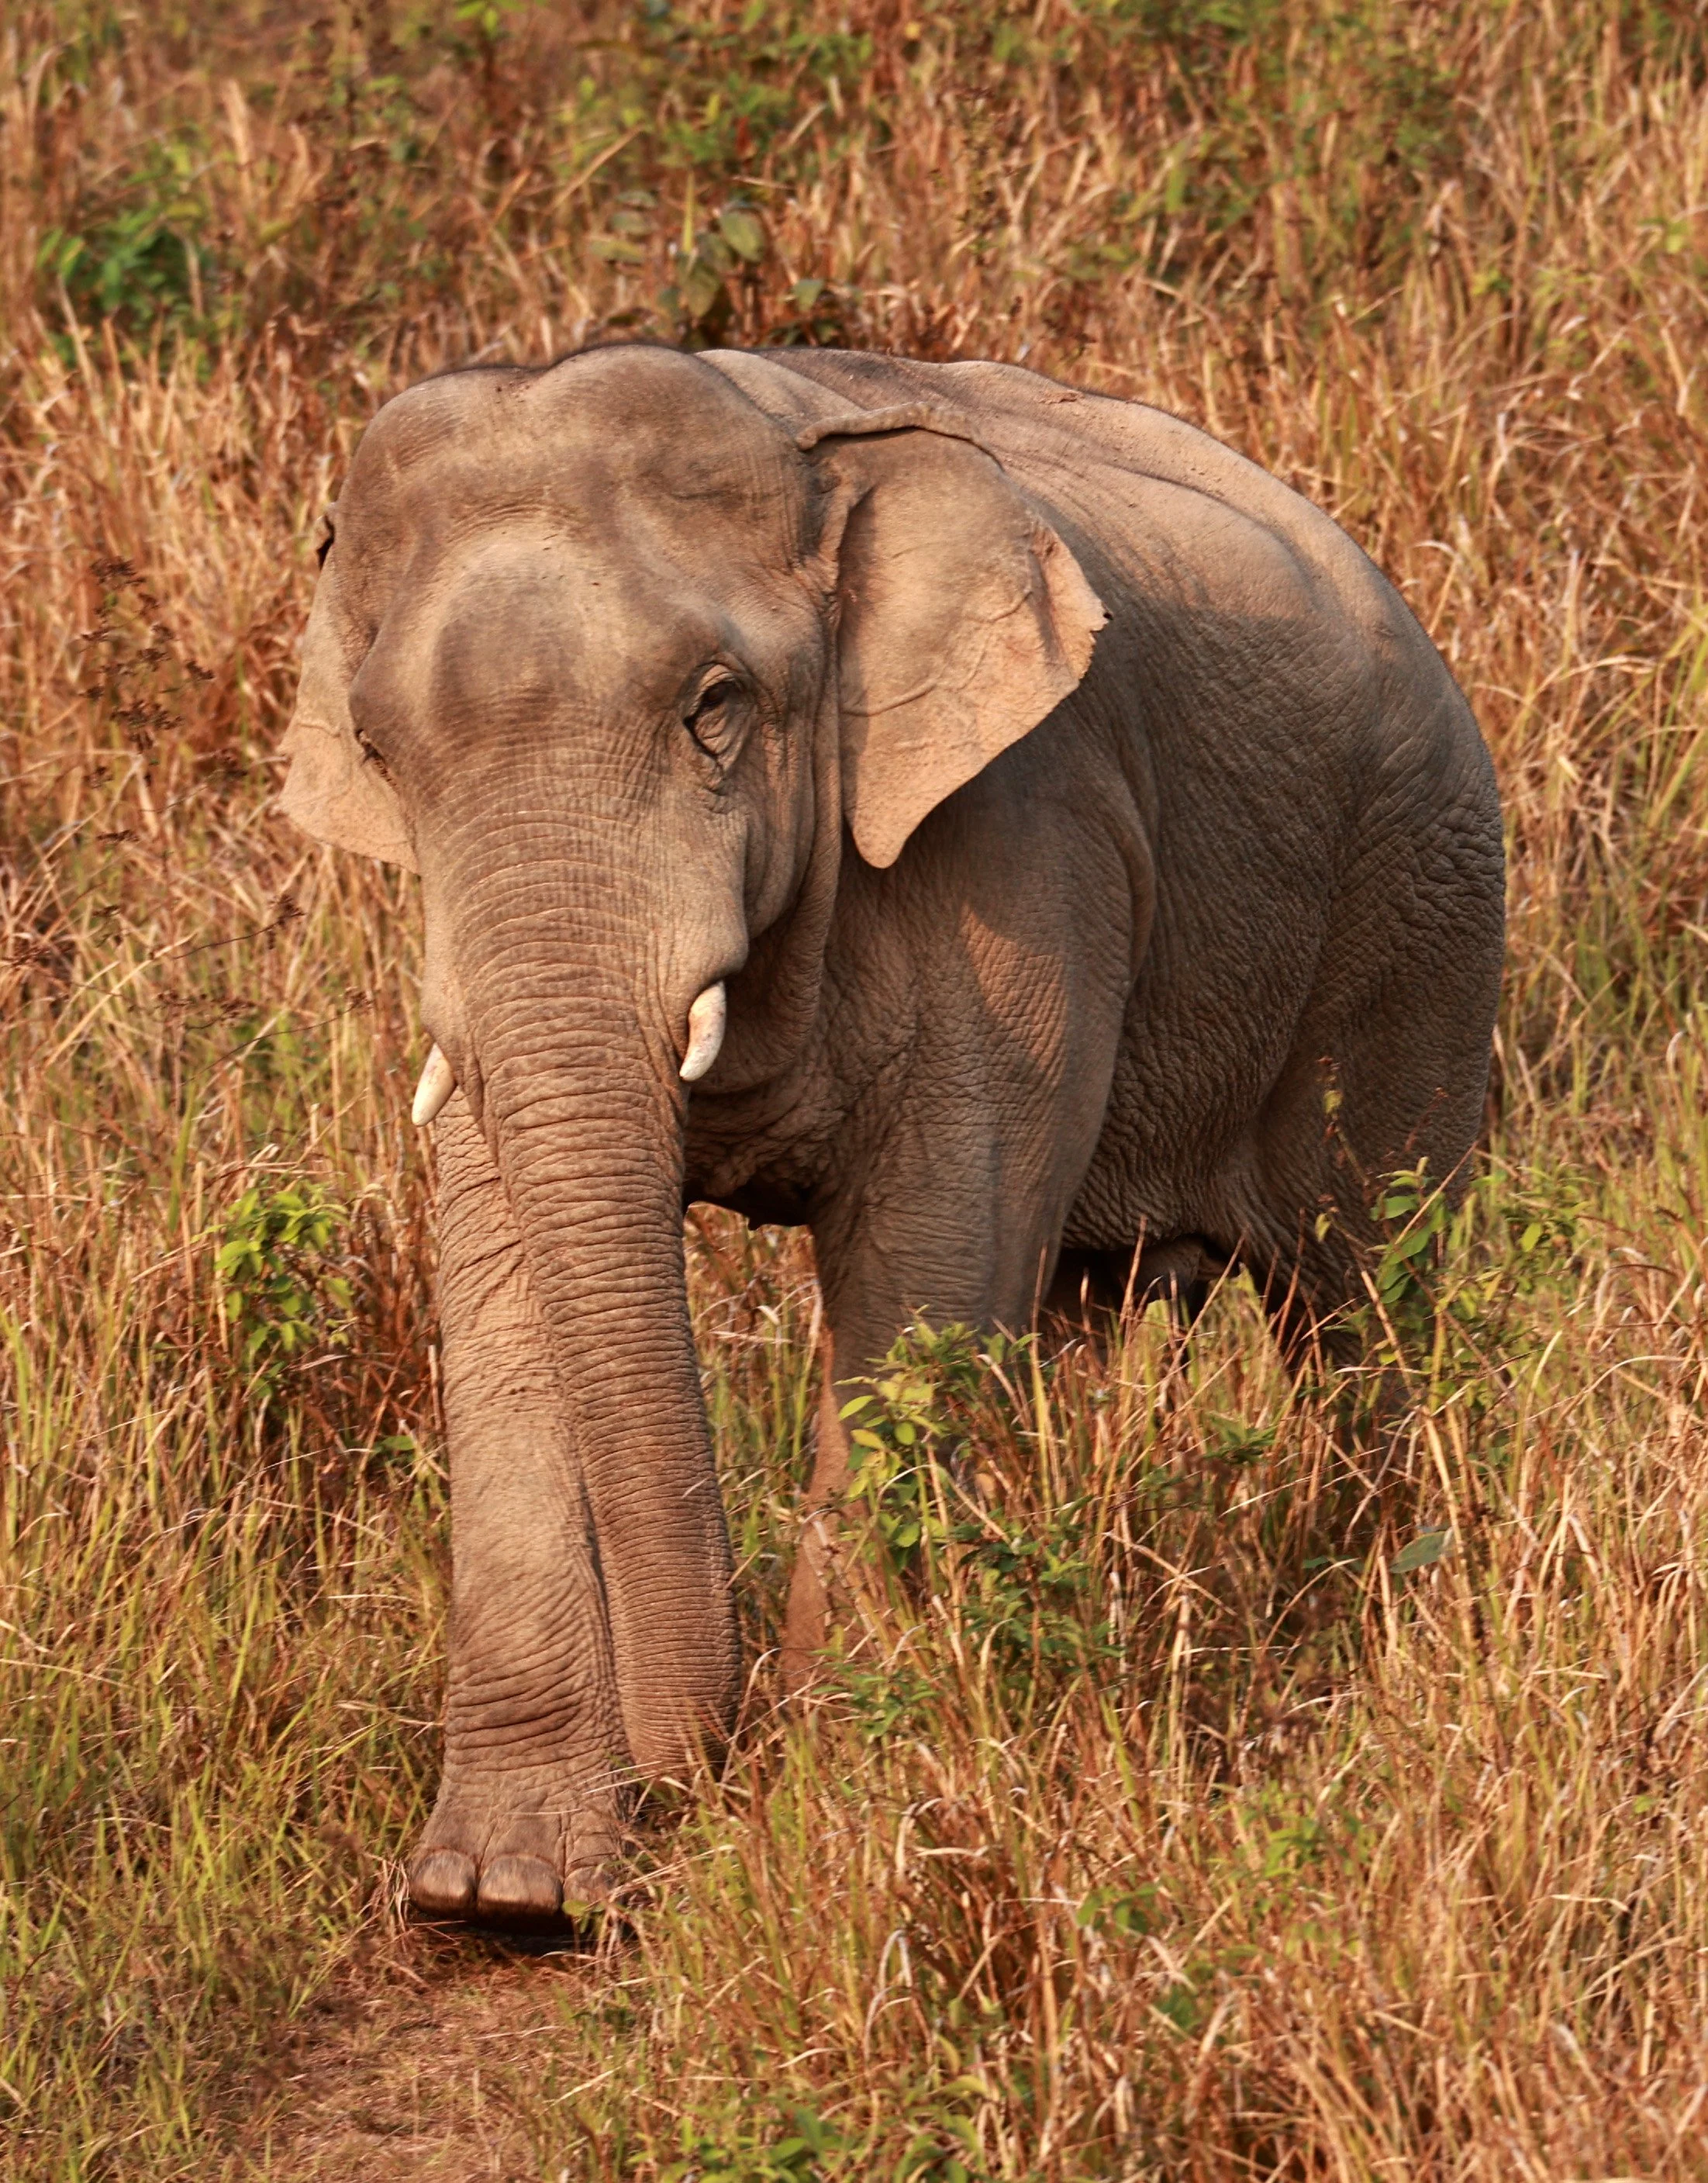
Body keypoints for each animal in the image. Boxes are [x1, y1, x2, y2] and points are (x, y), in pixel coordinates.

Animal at [278, 342, 1503, 1921]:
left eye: (717, 706)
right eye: (380, 750)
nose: (698, 1775)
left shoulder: (1015, 839)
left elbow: (926, 1263)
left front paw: (833, 1829)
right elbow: (499, 1276)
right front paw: (497, 1899)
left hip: (1420, 917)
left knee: (1365, 1305)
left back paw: (1371, 1604)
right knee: (1076, 1314)